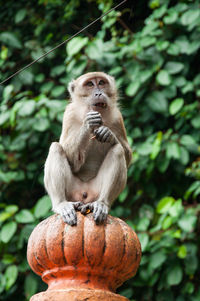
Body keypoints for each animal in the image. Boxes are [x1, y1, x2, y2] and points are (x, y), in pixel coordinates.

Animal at [43, 71, 132, 225]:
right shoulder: (69, 114)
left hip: (95, 192)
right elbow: (71, 158)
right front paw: (87, 124)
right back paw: (62, 204)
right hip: (72, 192)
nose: (98, 92)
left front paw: (109, 135)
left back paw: (102, 203)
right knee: (56, 148)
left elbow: (126, 156)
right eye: (90, 84)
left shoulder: (117, 117)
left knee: (117, 150)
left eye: (101, 82)